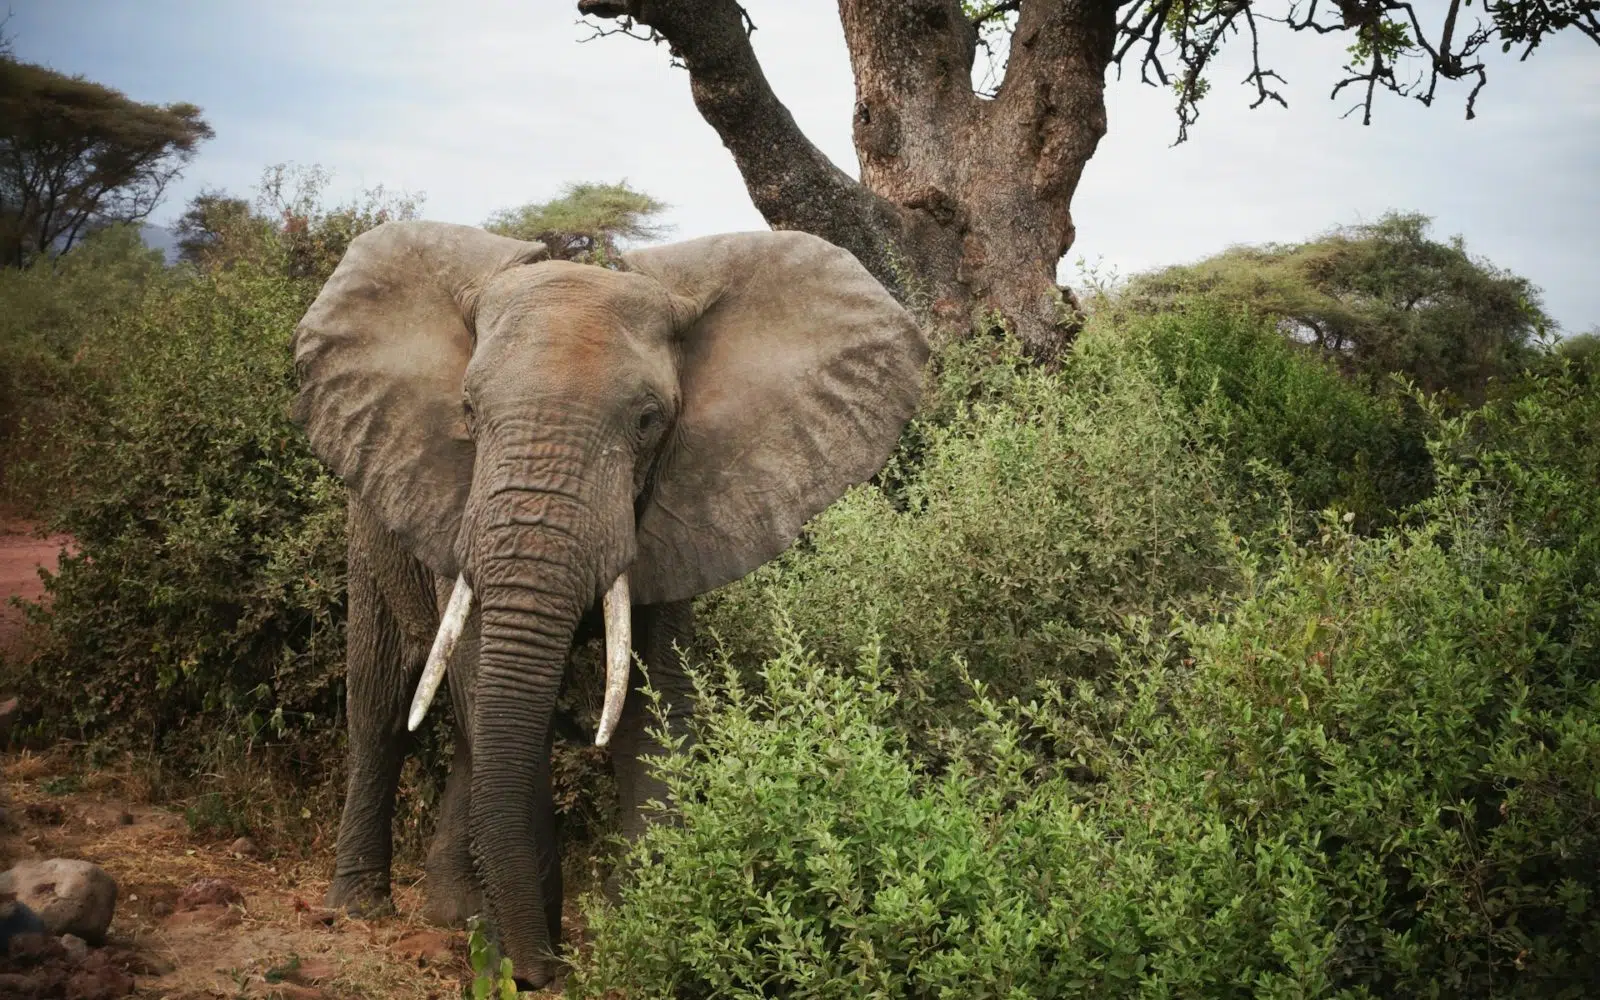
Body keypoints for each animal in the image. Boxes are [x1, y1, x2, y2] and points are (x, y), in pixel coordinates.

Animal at [289, 220, 928, 987]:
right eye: (468, 411)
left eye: (649, 420)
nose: (543, 971)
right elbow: (486, 685)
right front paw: (526, 956)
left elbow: (653, 703)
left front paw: (640, 929)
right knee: (383, 704)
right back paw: (362, 908)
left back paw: (453, 915)